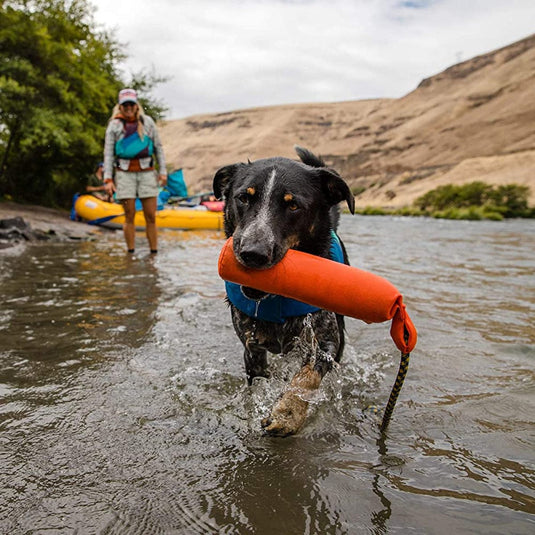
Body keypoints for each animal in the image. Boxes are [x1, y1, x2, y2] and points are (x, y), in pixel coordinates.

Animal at [214, 146, 356, 436]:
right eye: (243, 198)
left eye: (293, 205)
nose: (253, 253)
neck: (277, 298)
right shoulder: (252, 348)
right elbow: (258, 381)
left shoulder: (326, 340)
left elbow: (307, 377)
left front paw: (288, 413)